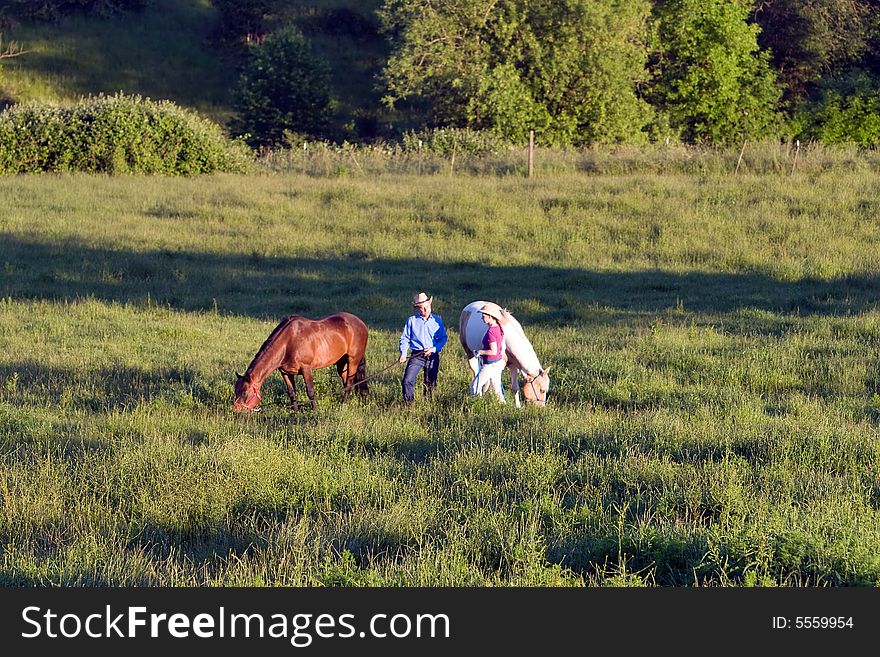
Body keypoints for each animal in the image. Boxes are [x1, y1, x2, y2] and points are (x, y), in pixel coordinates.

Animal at [234, 312, 368, 412]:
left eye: (244, 393)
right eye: (236, 390)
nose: (236, 410)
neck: (288, 342)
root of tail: (361, 323)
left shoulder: (306, 368)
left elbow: (310, 391)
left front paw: (315, 410)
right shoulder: (285, 372)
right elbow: (291, 392)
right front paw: (295, 412)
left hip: (353, 360)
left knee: (349, 382)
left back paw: (343, 404)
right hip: (341, 363)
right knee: (347, 382)